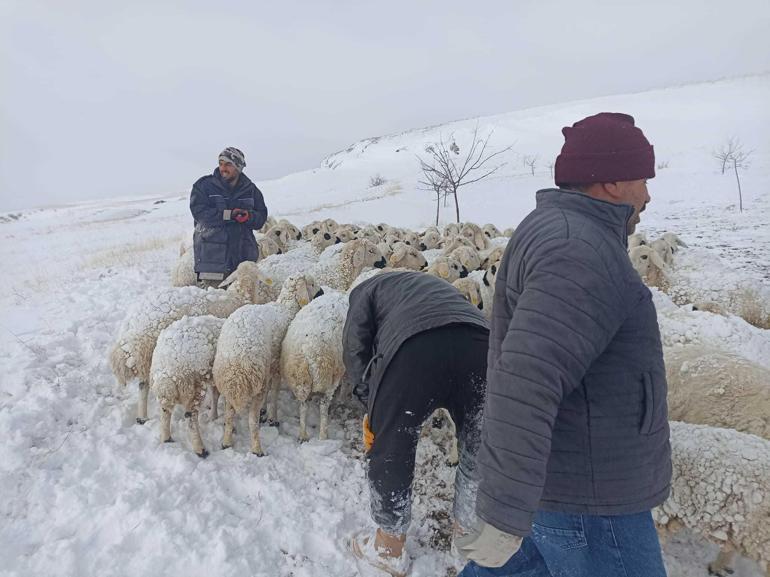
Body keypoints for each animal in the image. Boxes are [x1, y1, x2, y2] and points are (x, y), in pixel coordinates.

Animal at [148, 312, 225, 456]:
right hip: (193, 388)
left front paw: (213, 415)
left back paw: (166, 438)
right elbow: (216, 395)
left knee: (165, 411)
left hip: (167, 390)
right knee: (191, 418)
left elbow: (215, 394)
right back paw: (200, 449)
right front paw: (214, 415)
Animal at [212, 274, 320, 454]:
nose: (321, 292)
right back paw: (257, 448)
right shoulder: (276, 366)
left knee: (229, 413)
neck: (286, 308)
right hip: (256, 381)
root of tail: (236, 364)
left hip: (229, 383)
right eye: (311, 284)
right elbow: (274, 391)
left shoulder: (269, 368)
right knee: (251, 419)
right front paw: (272, 417)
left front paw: (266, 410)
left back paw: (227, 441)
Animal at [280, 290, 348, 444]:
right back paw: (323, 436)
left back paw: (303, 434)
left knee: (303, 405)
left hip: (300, 381)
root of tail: (309, 352)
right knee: (323, 406)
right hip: (329, 378)